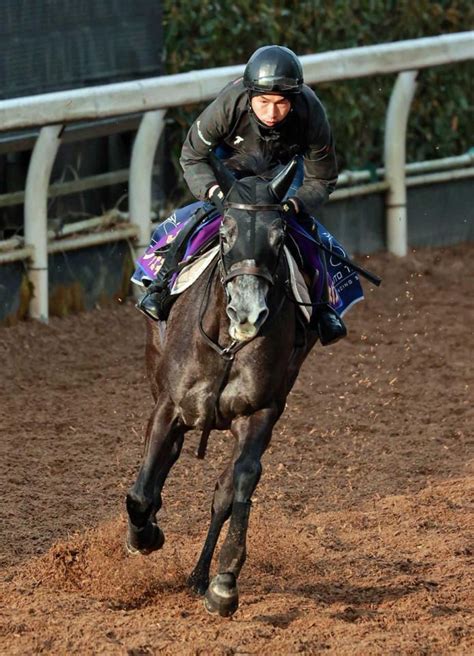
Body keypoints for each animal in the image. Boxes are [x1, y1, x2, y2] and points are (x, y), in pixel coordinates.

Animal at [126, 154, 318, 616]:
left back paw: (200, 577)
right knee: (164, 462)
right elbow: (140, 492)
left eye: (279, 236)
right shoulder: (168, 406)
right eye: (226, 233)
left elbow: (240, 484)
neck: (227, 342)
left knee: (223, 493)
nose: (248, 312)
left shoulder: (260, 412)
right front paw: (144, 534)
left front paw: (225, 582)